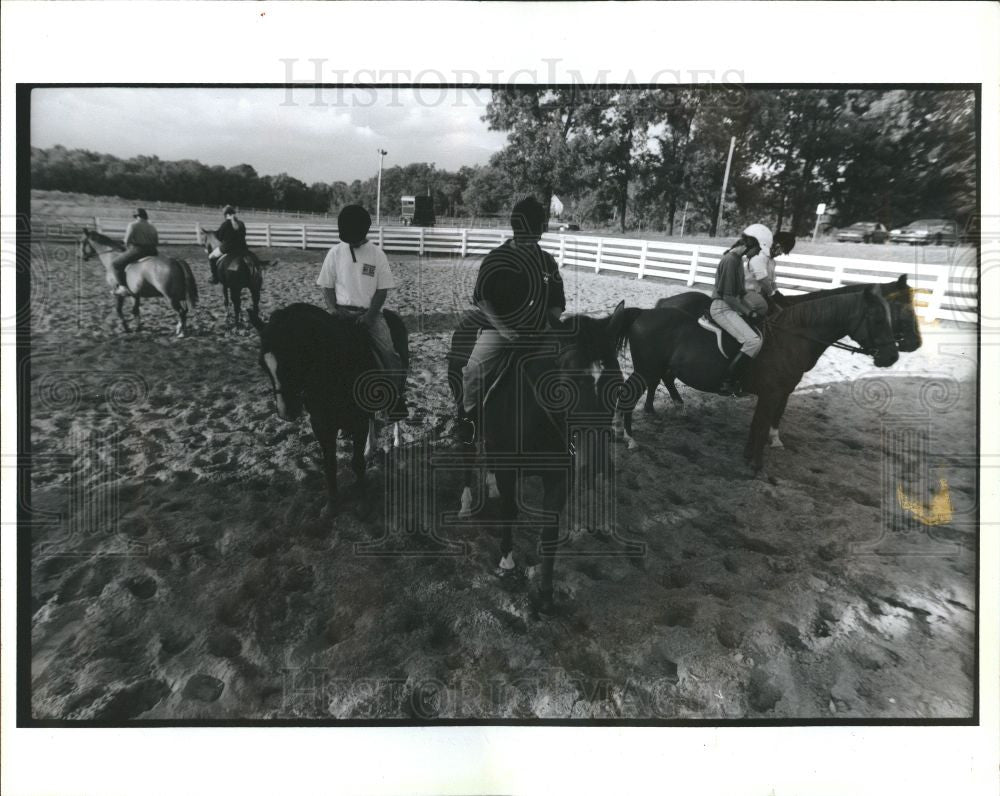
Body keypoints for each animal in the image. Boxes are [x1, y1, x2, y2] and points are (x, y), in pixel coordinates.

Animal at [250, 304, 410, 516]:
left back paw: (397, 440)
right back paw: (369, 448)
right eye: (262, 363)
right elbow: (330, 464)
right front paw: (332, 504)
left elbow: (356, 463)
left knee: (395, 415)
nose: (286, 412)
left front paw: (362, 502)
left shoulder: (358, 420)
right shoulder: (320, 423)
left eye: (295, 357)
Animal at [450, 302, 628, 612]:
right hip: (466, 418)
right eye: (565, 384)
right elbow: (509, 511)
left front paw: (546, 594)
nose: (596, 462)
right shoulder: (509, 467)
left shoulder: (560, 476)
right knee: (469, 457)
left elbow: (550, 531)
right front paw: (507, 560)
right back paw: (466, 503)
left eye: (617, 384)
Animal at [616, 286, 900, 472]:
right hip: (646, 369)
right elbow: (763, 425)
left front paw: (750, 456)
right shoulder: (773, 392)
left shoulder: (776, 392)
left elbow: (759, 424)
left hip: (654, 368)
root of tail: (644, 313)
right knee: (630, 394)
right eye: (877, 319)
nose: (892, 356)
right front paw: (756, 465)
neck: (792, 337)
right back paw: (630, 438)